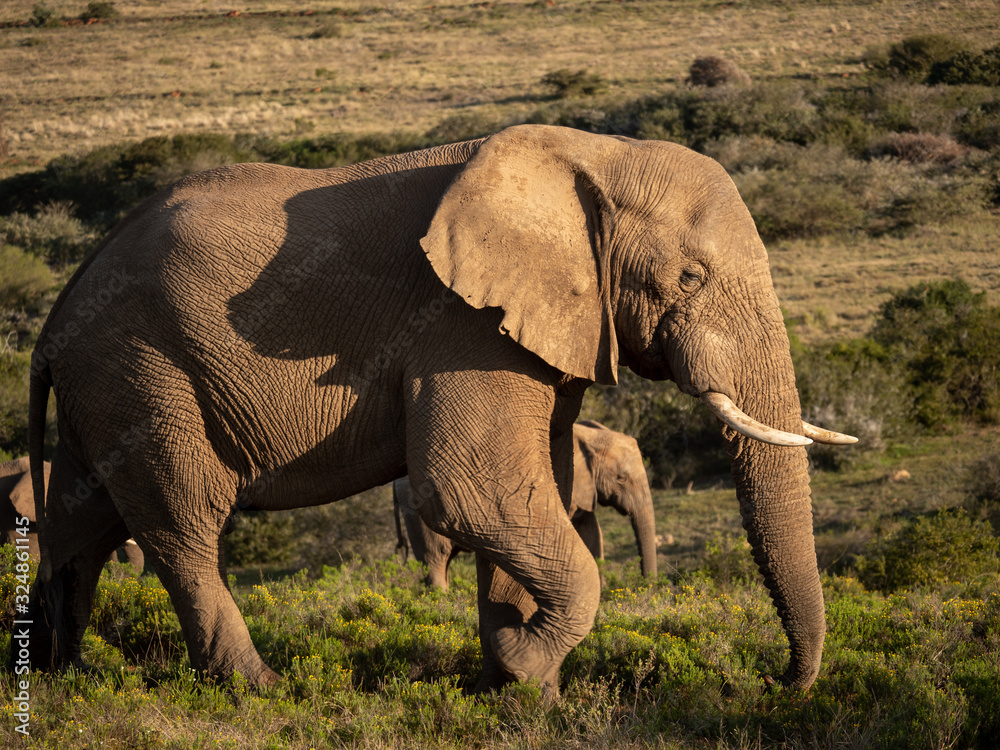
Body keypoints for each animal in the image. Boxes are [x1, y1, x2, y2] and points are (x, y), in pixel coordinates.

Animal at [394, 420, 660, 592]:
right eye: (621, 478)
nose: (646, 589)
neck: (591, 435)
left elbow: (590, 531)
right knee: (436, 557)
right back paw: (441, 600)